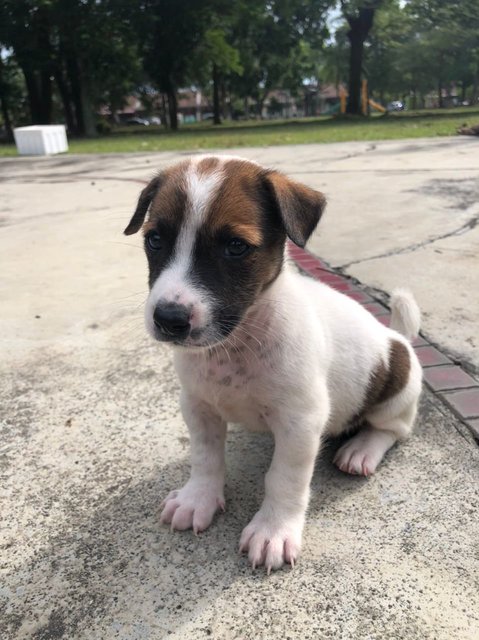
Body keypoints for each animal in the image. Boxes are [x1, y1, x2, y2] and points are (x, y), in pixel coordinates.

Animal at [124, 156, 424, 576]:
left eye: (235, 247)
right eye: (154, 239)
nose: (169, 319)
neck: (236, 345)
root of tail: (397, 336)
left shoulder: (301, 422)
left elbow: (284, 478)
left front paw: (273, 530)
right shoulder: (197, 406)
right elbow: (205, 457)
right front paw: (198, 498)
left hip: (396, 393)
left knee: (393, 429)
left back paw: (361, 449)